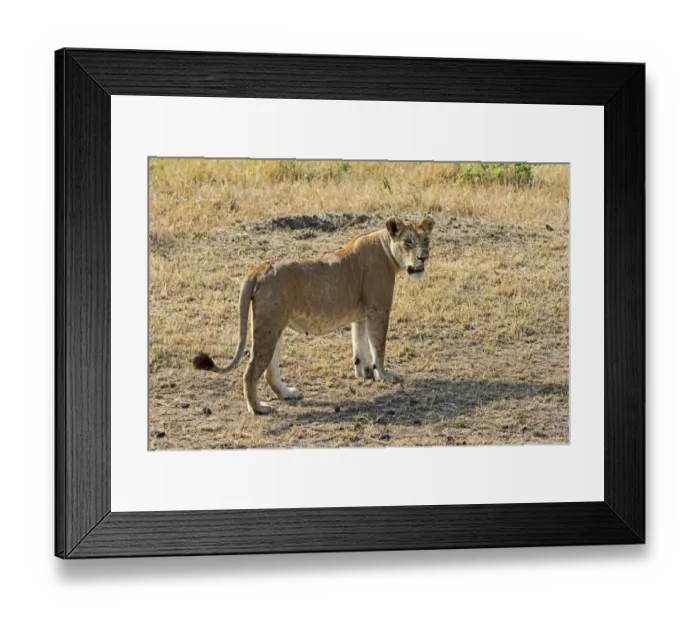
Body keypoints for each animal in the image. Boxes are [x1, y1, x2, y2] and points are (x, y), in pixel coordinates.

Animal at [192, 215, 435, 415]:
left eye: (426, 240)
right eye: (408, 241)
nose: (424, 258)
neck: (387, 251)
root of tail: (258, 269)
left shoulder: (361, 314)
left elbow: (360, 344)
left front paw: (365, 372)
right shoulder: (378, 309)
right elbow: (378, 346)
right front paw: (383, 375)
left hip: (274, 327)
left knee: (270, 371)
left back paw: (287, 394)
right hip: (268, 326)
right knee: (251, 372)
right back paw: (259, 409)